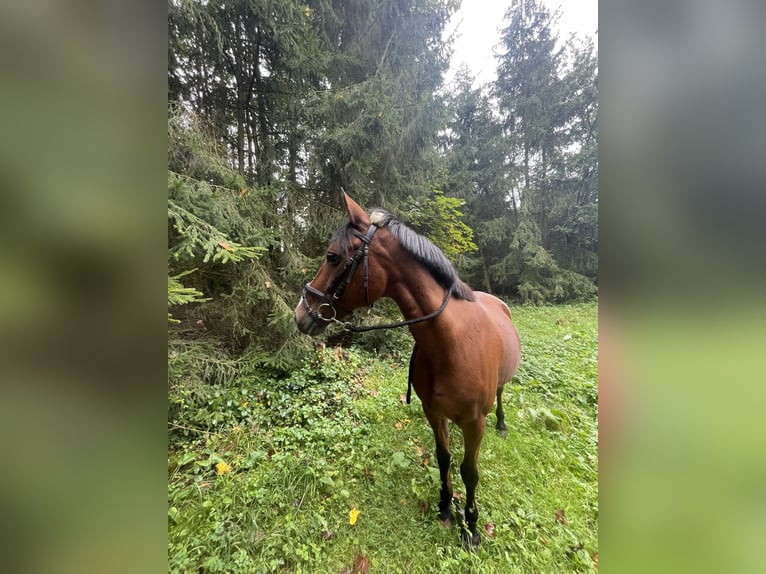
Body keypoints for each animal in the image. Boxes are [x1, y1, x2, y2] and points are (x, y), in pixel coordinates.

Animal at [294, 192, 520, 548]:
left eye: (332, 256)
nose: (300, 313)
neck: (452, 345)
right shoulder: (434, 412)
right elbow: (444, 458)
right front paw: (445, 506)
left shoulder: (474, 423)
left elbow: (470, 472)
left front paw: (471, 526)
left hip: (496, 394)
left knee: (500, 396)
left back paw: (501, 424)